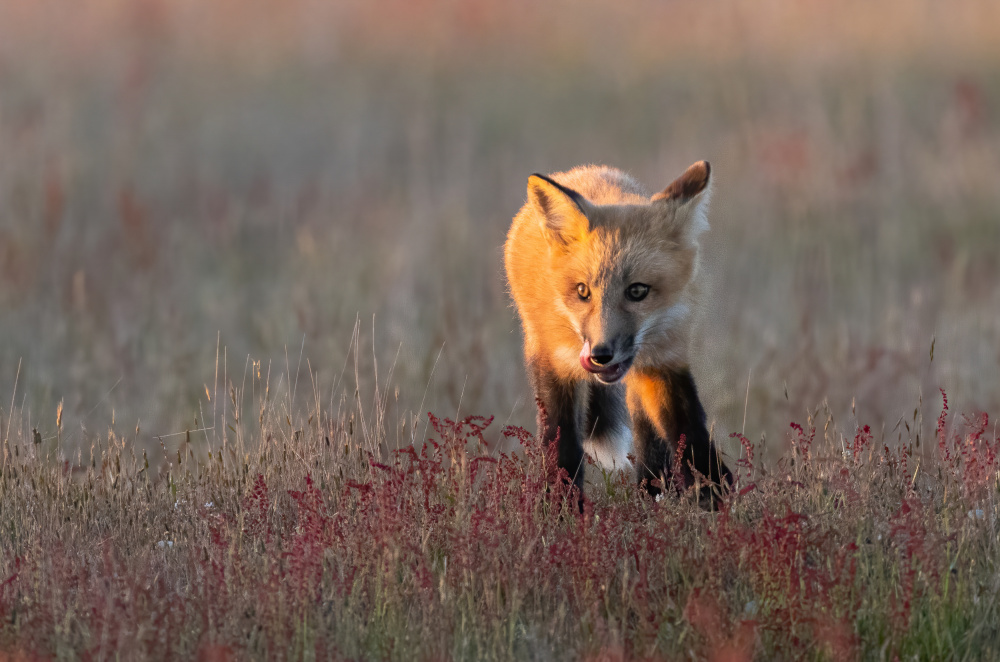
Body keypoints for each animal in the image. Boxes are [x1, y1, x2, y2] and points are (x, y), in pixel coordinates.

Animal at [504, 162, 732, 504]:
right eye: (582, 291)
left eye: (637, 291)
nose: (601, 355)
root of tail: (584, 170)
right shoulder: (556, 364)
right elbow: (561, 447)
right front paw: (560, 508)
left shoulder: (664, 359)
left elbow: (688, 429)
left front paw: (716, 495)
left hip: (641, 377)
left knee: (648, 437)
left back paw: (652, 492)